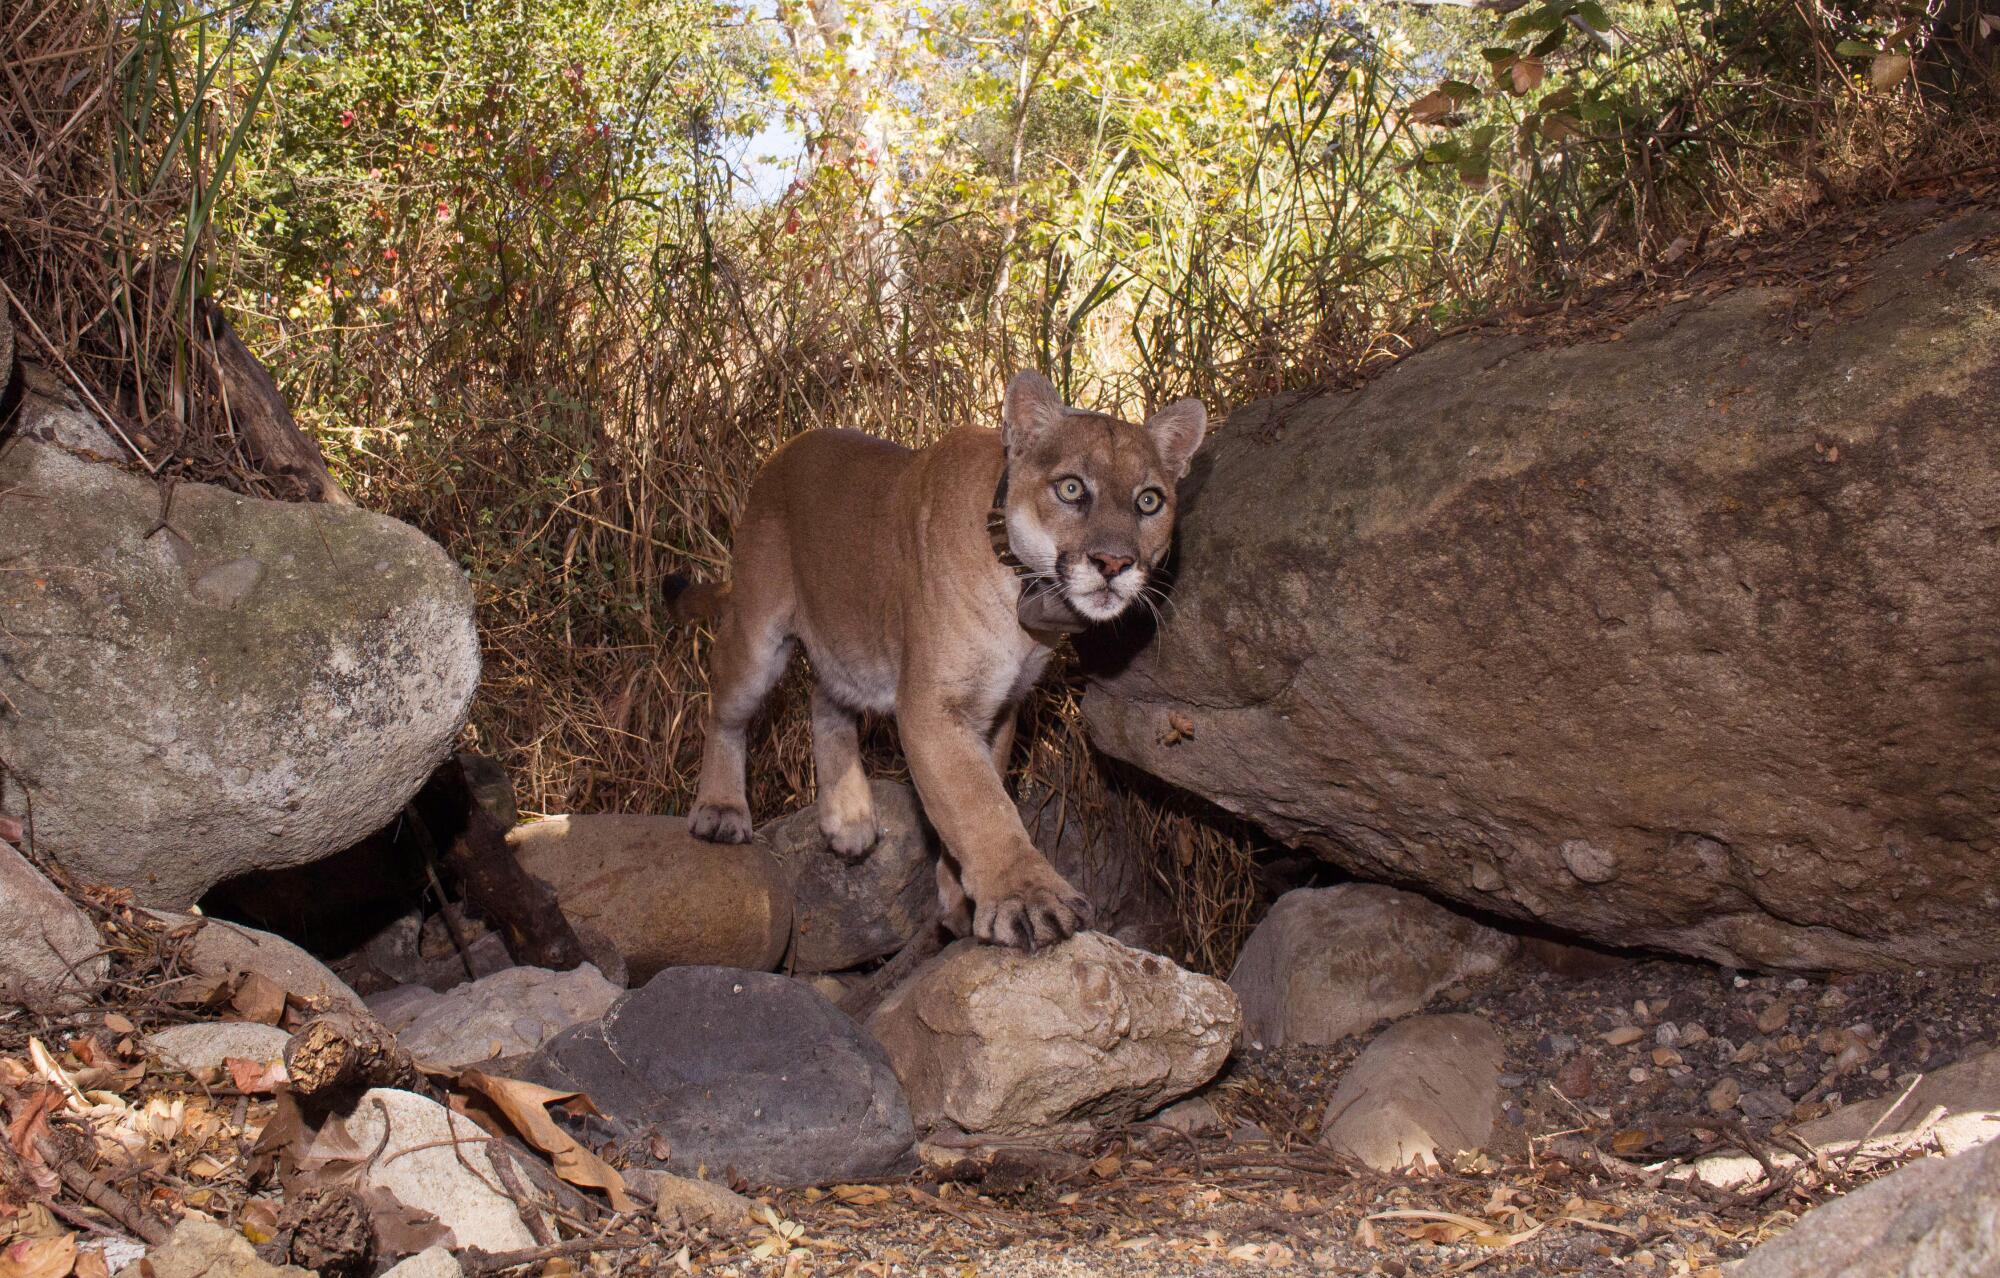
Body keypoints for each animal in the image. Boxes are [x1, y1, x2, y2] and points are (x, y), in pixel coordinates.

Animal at [668, 370, 1200, 952]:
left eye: (1149, 501)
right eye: (1071, 488)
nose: (1113, 563)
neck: (1023, 587)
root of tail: (783, 450)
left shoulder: (999, 707)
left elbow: (973, 796)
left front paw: (958, 899)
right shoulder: (933, 707)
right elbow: (979, 802)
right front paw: (1027, 898)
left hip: (849, 637)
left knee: (824, 698)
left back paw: (848, 816)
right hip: (758, 635)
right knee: (724, 708)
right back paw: (721, 810)